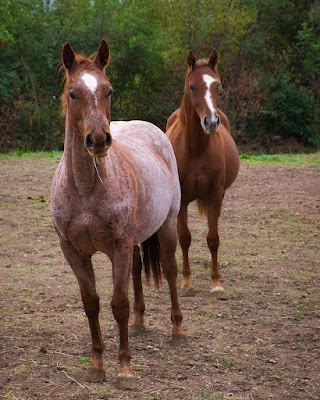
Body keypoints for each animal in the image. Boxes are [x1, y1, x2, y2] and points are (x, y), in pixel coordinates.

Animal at [51, 39, 184, 388]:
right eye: (73, 92)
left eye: (108, 90)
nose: (98, 140)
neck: (86, 189)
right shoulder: (74, 251)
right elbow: (92, 304)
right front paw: (97, 364)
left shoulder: (119, 245)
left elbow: (118, 304)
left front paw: (124, 367)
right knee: (137, 271)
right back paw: (139, 324)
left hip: (167, 226)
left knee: (170, 271)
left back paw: (178, 327)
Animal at [166, 50, 239, 298]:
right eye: (192, 86)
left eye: (218, 85)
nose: (212, 122)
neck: (196, 148)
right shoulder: (181, 201)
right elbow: (185, 238)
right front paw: (186, 282)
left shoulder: (215, 195)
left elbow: (213, 238)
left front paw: (216, 283)